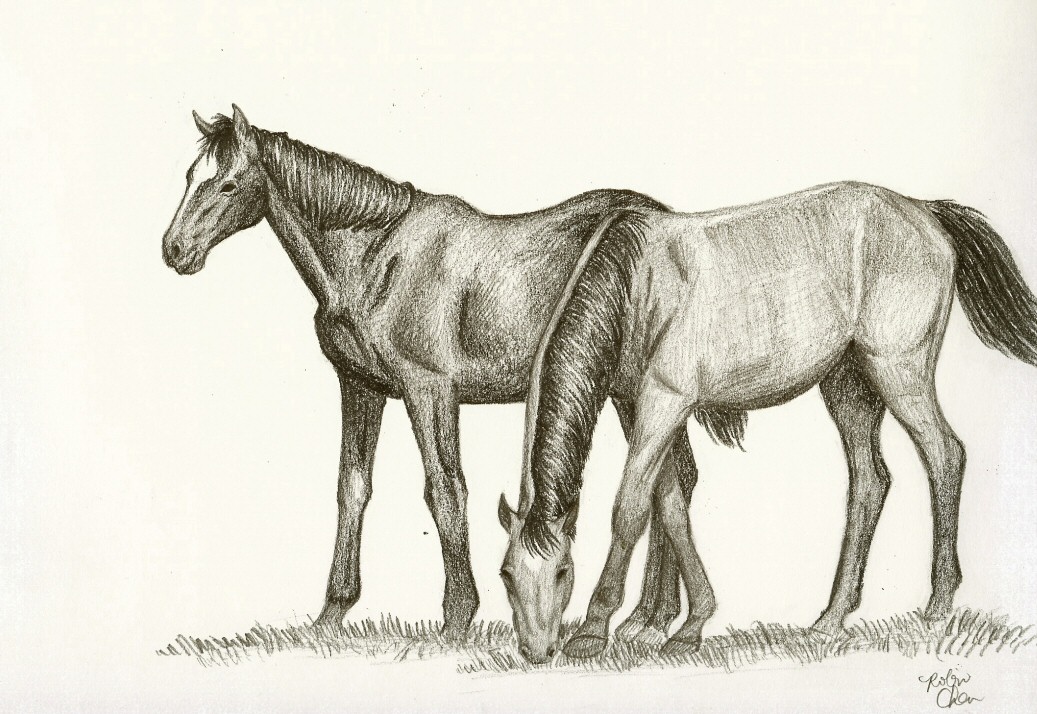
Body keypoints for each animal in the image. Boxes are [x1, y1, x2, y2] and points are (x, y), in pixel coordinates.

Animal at [162, 105, 736, 639]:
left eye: (229, 182)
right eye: (190, 175)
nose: (174, 250)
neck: (376, 258)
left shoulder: (429, 390)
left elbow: (445, 491)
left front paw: (458, 617)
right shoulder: (361, 387)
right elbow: (352, 488)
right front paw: (332, 613)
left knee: (664, 481)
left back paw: (651, 621)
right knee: (673, 480)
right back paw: (650, 620)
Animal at [499, 181, 1037, 661]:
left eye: (563, 572)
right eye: (506, 576)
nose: (536, 652)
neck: (638, 282)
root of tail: (924, 210)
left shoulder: (664, 402)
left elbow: (630, 508)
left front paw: (594, 630)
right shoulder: (638, 403)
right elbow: (669, 504)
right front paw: (689, 626)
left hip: (899, 372)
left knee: (945, 455)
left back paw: (938, 607)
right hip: (849, 386)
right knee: (870, 482)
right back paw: (830, 620)